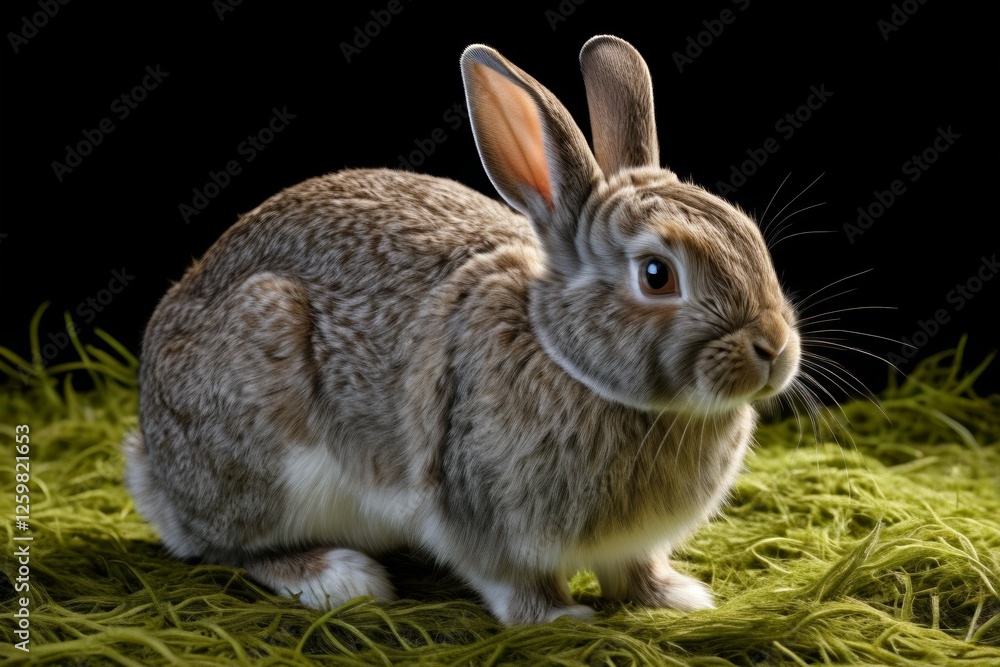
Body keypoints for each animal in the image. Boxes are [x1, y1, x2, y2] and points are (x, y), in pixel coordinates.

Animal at [123, 34, 801, 626]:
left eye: (749, 237)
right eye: (657, 275)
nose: (774, 348)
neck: (567, 358)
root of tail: (151, 463)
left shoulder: (630, 543)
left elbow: (636, 569)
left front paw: (673, 598)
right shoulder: (480, 515)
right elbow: (514, 581)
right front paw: (559, 618)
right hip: (258, 434)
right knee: (230, 545)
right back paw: (337, 577)